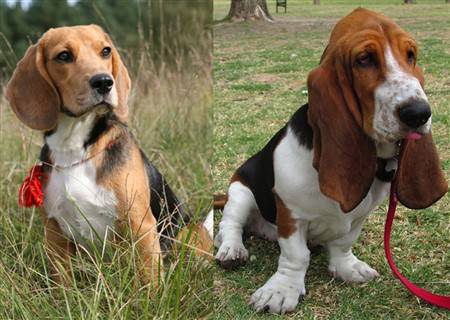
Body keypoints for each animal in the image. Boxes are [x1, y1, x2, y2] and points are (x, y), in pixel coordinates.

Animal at [5, 24, 213, 284]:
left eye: (105, 51)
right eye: (64, 56)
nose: (104, 82)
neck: (75, 149)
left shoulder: (139, 225)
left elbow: (149, 281)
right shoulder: (55, 234)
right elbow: (62, 284)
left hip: (187, 231)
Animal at [214, 8, 446, 316]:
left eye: (411, 55)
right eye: (364, 59)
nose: (419, 113)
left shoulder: (359, 216)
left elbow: (343, 243)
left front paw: (347, 268)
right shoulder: (291, 215)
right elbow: (296, 256)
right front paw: (281, 291)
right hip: (241, 191)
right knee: (230, 225)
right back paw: (231, 250)